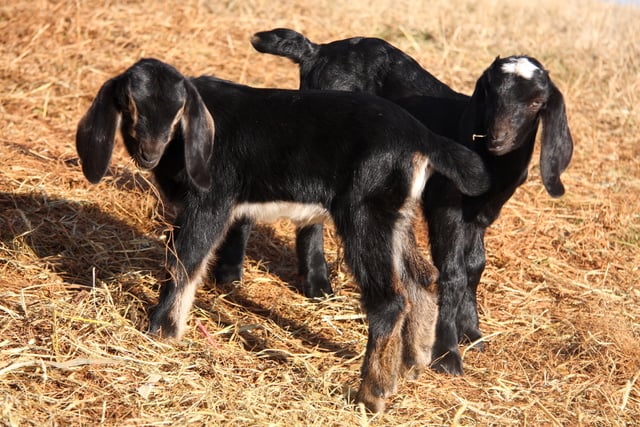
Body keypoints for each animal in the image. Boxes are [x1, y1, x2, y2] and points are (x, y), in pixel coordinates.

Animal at [75, 58, 491, 412]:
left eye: (179, 110)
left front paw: (161, 330)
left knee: (389, 300)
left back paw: (371, 394)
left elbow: (184, 261)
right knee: (421, 279)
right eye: (130, 104)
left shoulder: (210, 201)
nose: (149, 152)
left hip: (365, 213)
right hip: (395, 216)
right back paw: (412, 365)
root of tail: (422, 137)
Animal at [221, 29, 573, 375]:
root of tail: (317, 51)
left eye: (537, 102)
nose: (497, 139)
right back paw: (274, 279)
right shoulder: (446, 204)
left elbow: (475, 265)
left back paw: (310, 284)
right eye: (491, 94)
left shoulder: (483, 213)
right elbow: (453, 271)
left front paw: (472, 334)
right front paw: (447, 354)